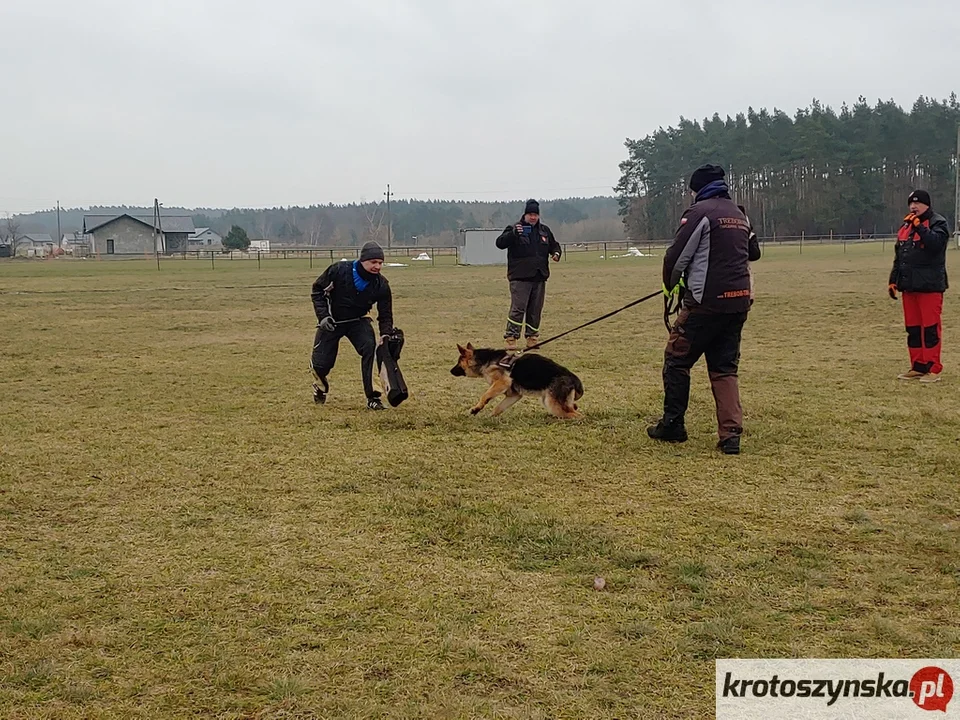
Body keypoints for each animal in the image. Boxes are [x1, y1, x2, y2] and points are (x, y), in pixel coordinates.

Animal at [452, 344, 584, 420]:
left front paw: (476, 408)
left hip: (552, 404)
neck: (486, 360)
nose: (450, 371)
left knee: (577, 416)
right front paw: (489, 418)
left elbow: (485, 396)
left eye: (458, 362)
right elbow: (498, 408)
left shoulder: (502, 382)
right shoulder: (514, 395)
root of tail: (574, 379)